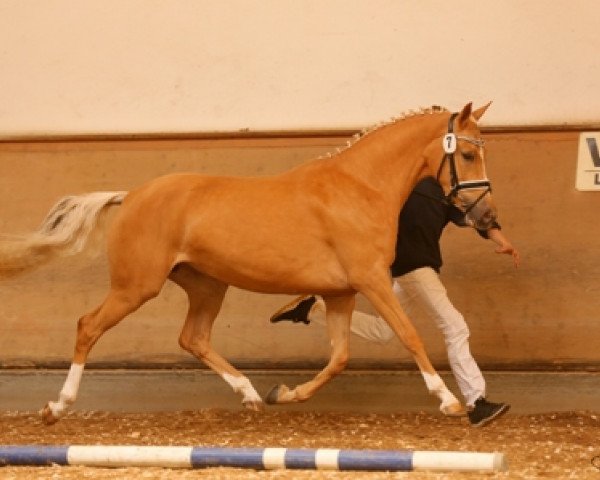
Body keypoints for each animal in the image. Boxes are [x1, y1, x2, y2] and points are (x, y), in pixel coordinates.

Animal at [0, 101, 496, 424]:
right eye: (468, 153)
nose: (485, 216)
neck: (359, 187)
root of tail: (132, 195)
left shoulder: (341, 293)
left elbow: (339, 357)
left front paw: (286, 393)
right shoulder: (371, 281)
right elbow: (411, 336)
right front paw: (449, 401)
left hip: (206, 286)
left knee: (193, 337)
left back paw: (252, 395)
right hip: (135, 287)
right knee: (89, 326)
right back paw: (56, 408)